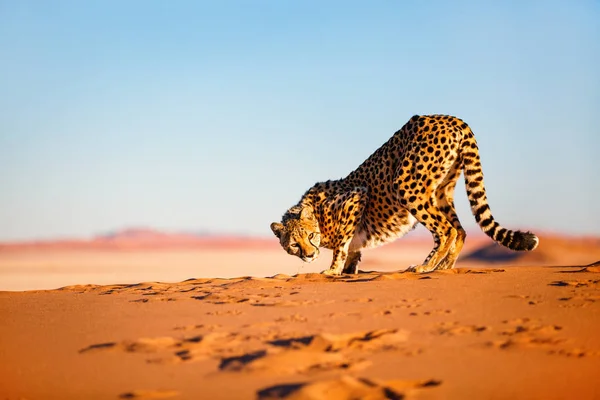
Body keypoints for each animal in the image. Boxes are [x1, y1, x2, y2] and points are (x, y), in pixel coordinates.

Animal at [272, 114, 540, 274]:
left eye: (310, 236)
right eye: (294, 244)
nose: (308, 255)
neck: (315, 214)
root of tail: (450, 117)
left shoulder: (356, 196)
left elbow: (342, 245)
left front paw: (333, 270)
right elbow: (353, 250)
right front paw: (348, 270)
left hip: (407, 186)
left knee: (446, 230)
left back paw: (425, 266)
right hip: (441, 191)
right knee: (461, 230)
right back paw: (444, 266)